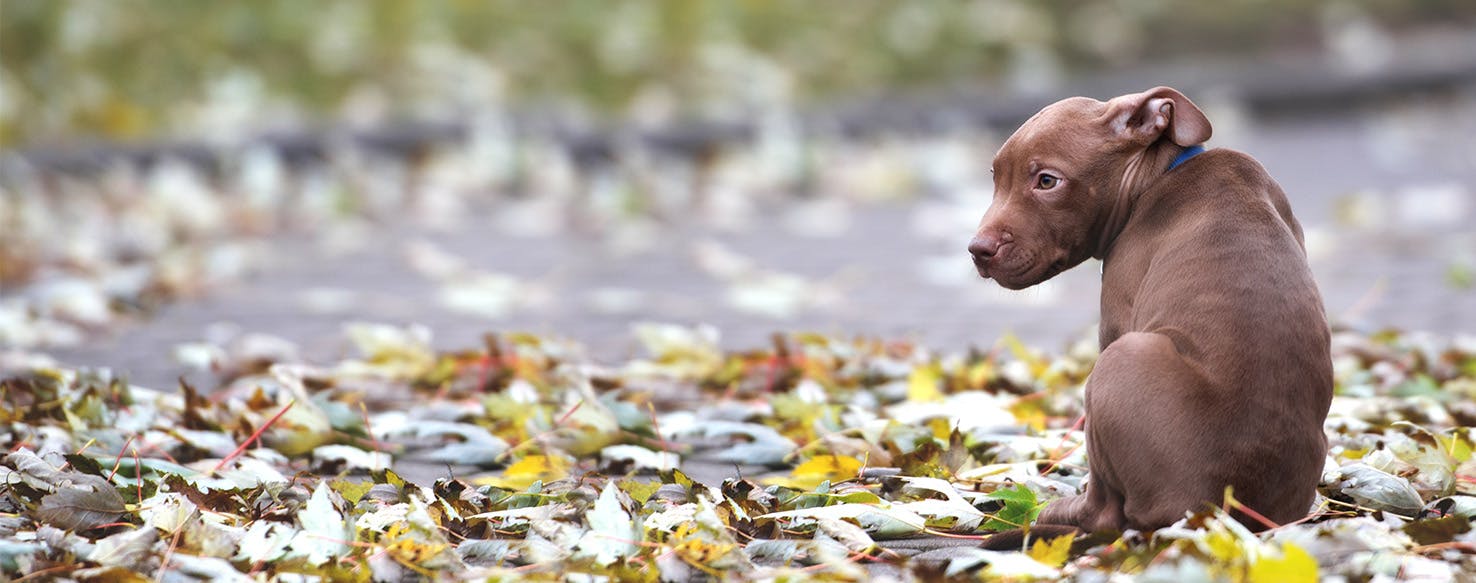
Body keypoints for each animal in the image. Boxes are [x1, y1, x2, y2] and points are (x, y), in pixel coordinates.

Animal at [974, 86, 1334, 540]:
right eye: (995, 176)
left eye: (1047, 181)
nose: (977, 249)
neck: (1160, 174)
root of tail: (1211, 516)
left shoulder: (1115, 322)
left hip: (1121, 358)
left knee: (1105, 509)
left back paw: (1060, 512)